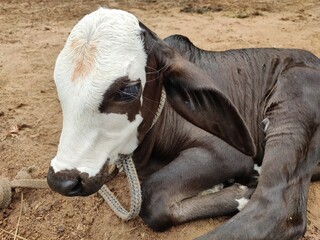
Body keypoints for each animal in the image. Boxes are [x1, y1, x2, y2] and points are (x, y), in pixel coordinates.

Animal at [47, 8, 320, 239]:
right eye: (59, 85)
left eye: (128, 91)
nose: (64, 180)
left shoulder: (228, 152)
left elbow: (153, 197)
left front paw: (239, 193)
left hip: (294, 99)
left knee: (276, 209)